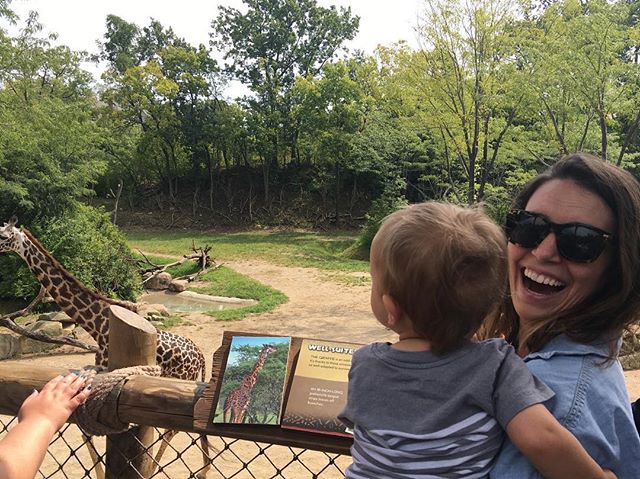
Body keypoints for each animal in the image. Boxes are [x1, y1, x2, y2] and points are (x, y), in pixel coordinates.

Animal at [0, 218, 215, 479]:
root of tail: (200, 355)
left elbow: (92, 431)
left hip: (180, 379)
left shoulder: (106, 369)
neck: (96, 324)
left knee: (171, 430)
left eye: (3, 236)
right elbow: (86, 431)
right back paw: (203, 470)